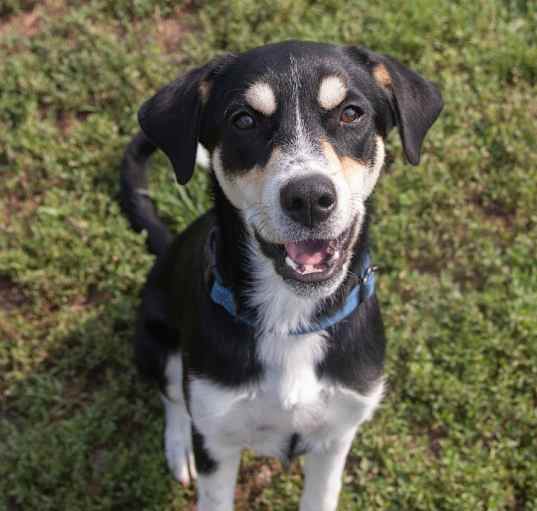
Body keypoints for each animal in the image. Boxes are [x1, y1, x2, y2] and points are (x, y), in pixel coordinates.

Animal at [119, 41, 442, 511]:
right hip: (156, 341)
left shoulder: (336, 436)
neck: (291, 318)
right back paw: (178, 446)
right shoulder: (217, 441)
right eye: (244, 120)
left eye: (351, 113)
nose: (309, 197)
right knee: (174, 397)